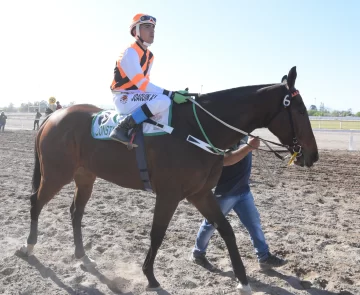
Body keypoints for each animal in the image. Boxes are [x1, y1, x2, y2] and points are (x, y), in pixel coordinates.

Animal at [21, 66, 318, 294]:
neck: (198, 129)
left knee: (75, 211)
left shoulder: (200, 193)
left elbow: (227, 231)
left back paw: (82, 255)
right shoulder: (169, 194)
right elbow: (157, 233)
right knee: (36, 201)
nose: (313, 154)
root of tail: (53, 116)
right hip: (56, 174)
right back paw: (29, 246)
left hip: (85, 176)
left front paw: (243, 281)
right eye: (301, 111)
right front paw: (150, 277)